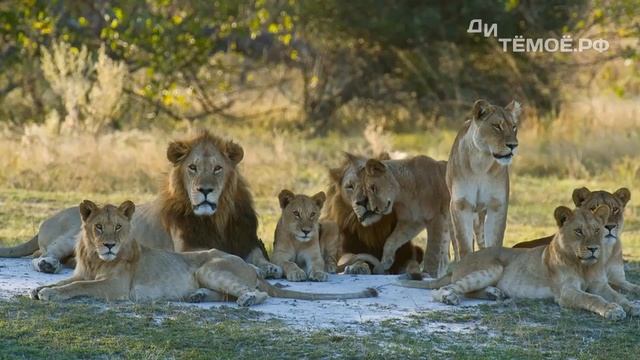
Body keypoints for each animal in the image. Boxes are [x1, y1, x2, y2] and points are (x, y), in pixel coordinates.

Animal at [0, 131, 280, 278]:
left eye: (218, 168)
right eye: (192, 168)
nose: (205, 190)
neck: (216, 218)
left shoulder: (245, 240)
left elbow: (257, 257)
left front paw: (271, 267)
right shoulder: (188, 247)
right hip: (72, 237)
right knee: (42, 254)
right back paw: (47, 264)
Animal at [30, 201, 378, 306]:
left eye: (117, 227)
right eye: (99, 228)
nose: (109, 246)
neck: (93, 257)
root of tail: (250, 267)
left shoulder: (115, 287)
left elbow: (78, 287)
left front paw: (49, 293)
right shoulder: (83, 272)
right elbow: (67, 281)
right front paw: (41, 288)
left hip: (209, 267)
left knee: (258, 294)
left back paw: (247, 300)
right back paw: (195, 297)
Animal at [400, 205, 640, 320]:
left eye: (597, 230)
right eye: (579, 231)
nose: (593, 249)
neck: (584, 265)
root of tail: (459, 264)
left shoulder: (601, 284)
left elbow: (619, 296)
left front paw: (631, 307)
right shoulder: (565, 292)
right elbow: (592, 298)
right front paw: (612, 310)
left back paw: (495, 294)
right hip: (493, 267)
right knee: (445, 289)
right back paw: (450, 298)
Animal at [448, 100, 524, 260]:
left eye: (514, 127)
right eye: (497, 126)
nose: (513, 145)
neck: (481, 163)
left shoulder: (497, 205)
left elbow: (495, 240)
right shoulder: (461, 205)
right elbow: (463, 244)